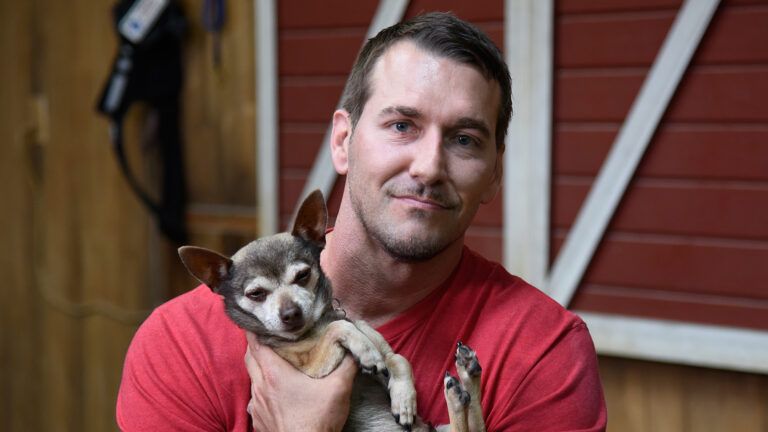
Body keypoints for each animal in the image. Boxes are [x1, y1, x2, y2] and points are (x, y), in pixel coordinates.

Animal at [177, 191, 484, 430]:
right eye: (256, 294)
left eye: (302, 276)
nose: (290, 314)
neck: (317, 324)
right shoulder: (313, 370)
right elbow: (340, 328)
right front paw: (365, 350)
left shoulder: (382, 348)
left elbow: (397, 359)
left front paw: (404, 398)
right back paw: (460, 389)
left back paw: (465, 376)